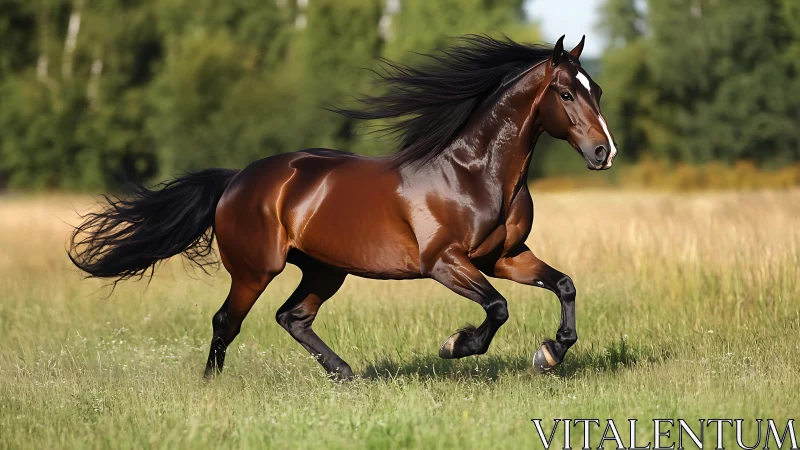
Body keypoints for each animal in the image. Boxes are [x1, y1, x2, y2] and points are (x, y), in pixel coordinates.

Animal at [68, 35, 617, 380]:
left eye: (596, 89)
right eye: (565, 93)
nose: (603, 152)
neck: (473, 173)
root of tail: (237, 180)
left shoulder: (504, 257)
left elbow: (564, 285)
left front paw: (549, 353)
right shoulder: (444, 262)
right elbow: (497, 309)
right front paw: (455, 346)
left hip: (325, 269)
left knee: (292, 317)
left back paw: (344, 374)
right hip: (255, 270)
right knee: (227, 322)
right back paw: (212, 385)